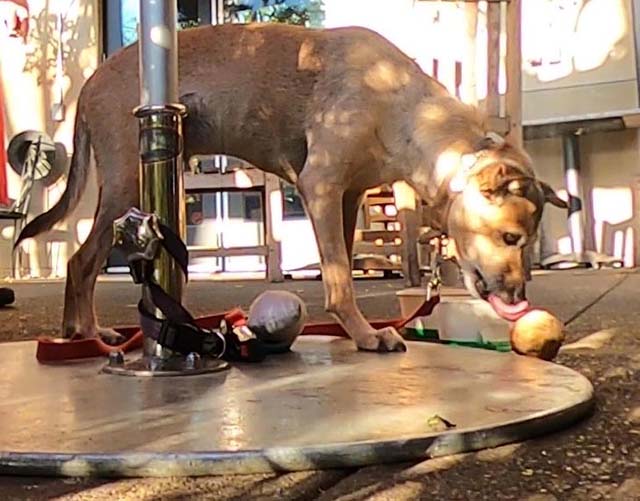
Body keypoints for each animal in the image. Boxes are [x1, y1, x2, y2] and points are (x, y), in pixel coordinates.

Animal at [16, 23, 564, 352]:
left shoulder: (348, 197)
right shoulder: (320, 186)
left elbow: (343, 263)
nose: (519, 298)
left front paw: (355, 332)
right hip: (127, 182)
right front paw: (366, 335)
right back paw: (89, 333)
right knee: (80, 260)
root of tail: (89, 81)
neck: (400, 107)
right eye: (510, 238)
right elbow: (340, 279)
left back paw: (78, 334)